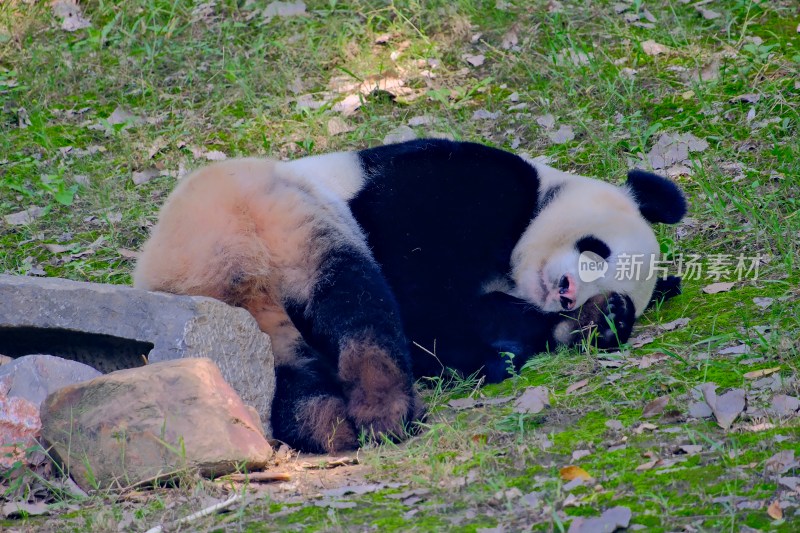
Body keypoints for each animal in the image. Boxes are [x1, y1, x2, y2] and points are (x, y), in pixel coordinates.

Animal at [133, 138, 688, 454]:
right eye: (598, 249)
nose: (569, 295)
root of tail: (231, 268)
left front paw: (599, 318)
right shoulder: (459, 188)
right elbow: (420, 290)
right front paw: (494, 357)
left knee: (291, 365)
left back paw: (329, 422)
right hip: (285, 215)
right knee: (359, 301)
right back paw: (386, 408)